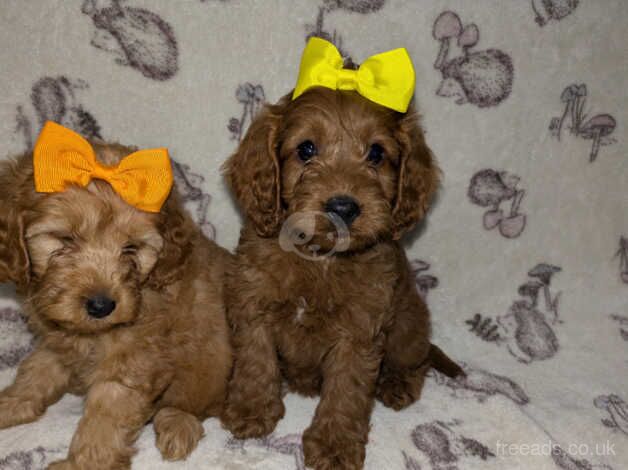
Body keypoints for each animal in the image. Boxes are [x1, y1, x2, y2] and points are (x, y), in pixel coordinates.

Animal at [0, 122, 232, 470]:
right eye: (66, 239)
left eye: (131, 248)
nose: (101, 306)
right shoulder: (57, 340)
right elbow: (35, 371)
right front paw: (11, 402)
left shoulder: (133, 361)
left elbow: (105, 416)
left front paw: (83, 463)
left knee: (195, 407)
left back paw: (177, 426)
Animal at [221, 37, 462, 470]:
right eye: (306, 149)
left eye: (377, 154)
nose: (343, 207)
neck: (321, 259)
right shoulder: (252, 301)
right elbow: (256, 359)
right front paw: (252, 409)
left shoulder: (361, 330)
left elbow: (347, 391)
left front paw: (334, 444)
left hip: (408, 326)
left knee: (416, 359)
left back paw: (398, 383)